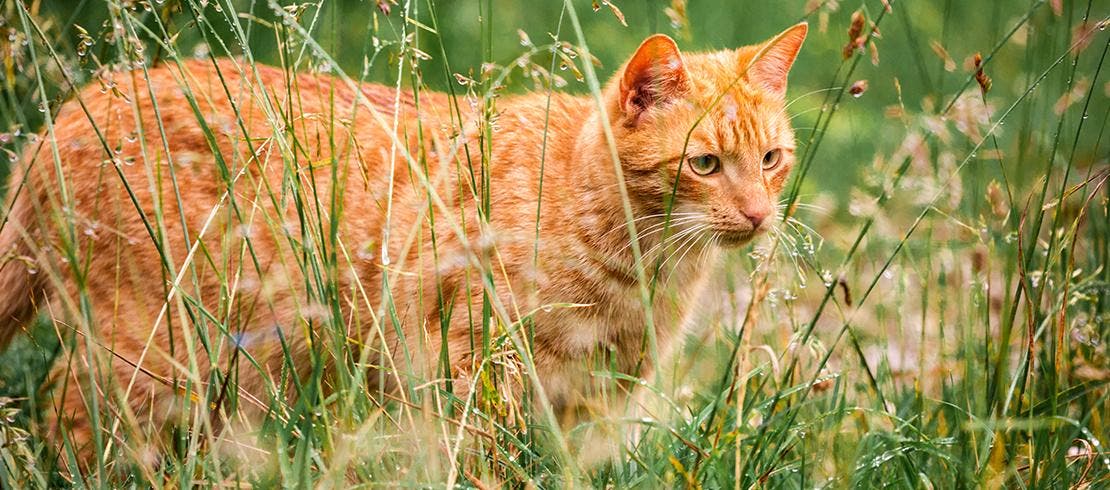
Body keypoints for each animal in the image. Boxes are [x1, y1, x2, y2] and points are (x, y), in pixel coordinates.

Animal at [0, 22, 803, 464]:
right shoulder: (473, 374)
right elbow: (488, 467)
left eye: (772, 159)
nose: (759, 215)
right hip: (157, 348)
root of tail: (63, 114)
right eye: (705, 164)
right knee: (67, 418)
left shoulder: (588, 402)